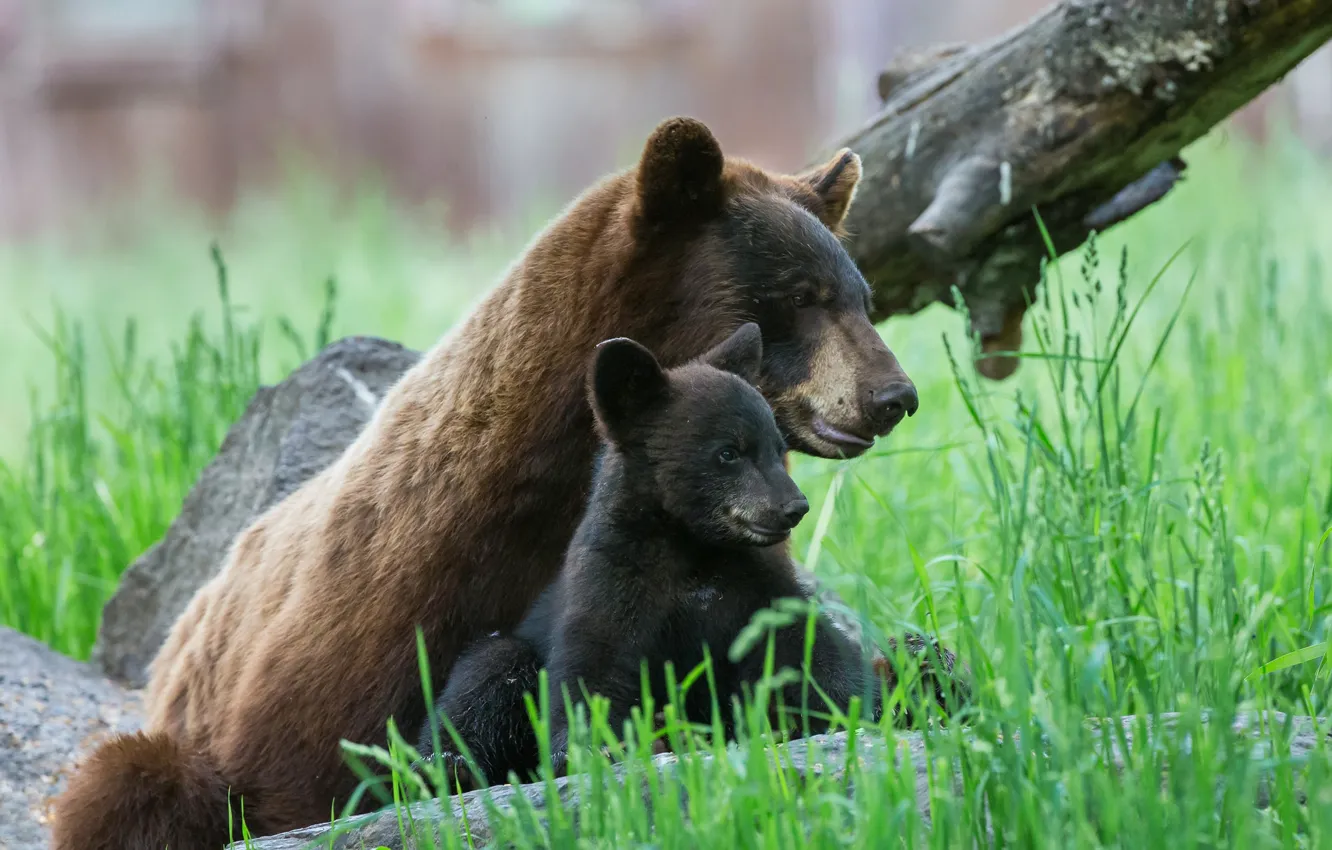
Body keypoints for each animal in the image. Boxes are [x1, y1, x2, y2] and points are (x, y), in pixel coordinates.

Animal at [416, 323, 896, 791]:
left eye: (778, 449)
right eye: (728, 452)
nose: (794, 507)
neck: (694, 548)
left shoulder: (757, 584)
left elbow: (807, 643)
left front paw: (871, 703)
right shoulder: (613, 576)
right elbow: (593, 661)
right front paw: (590, 748)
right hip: (508, 652)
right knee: (486, 675)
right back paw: (450, 766)